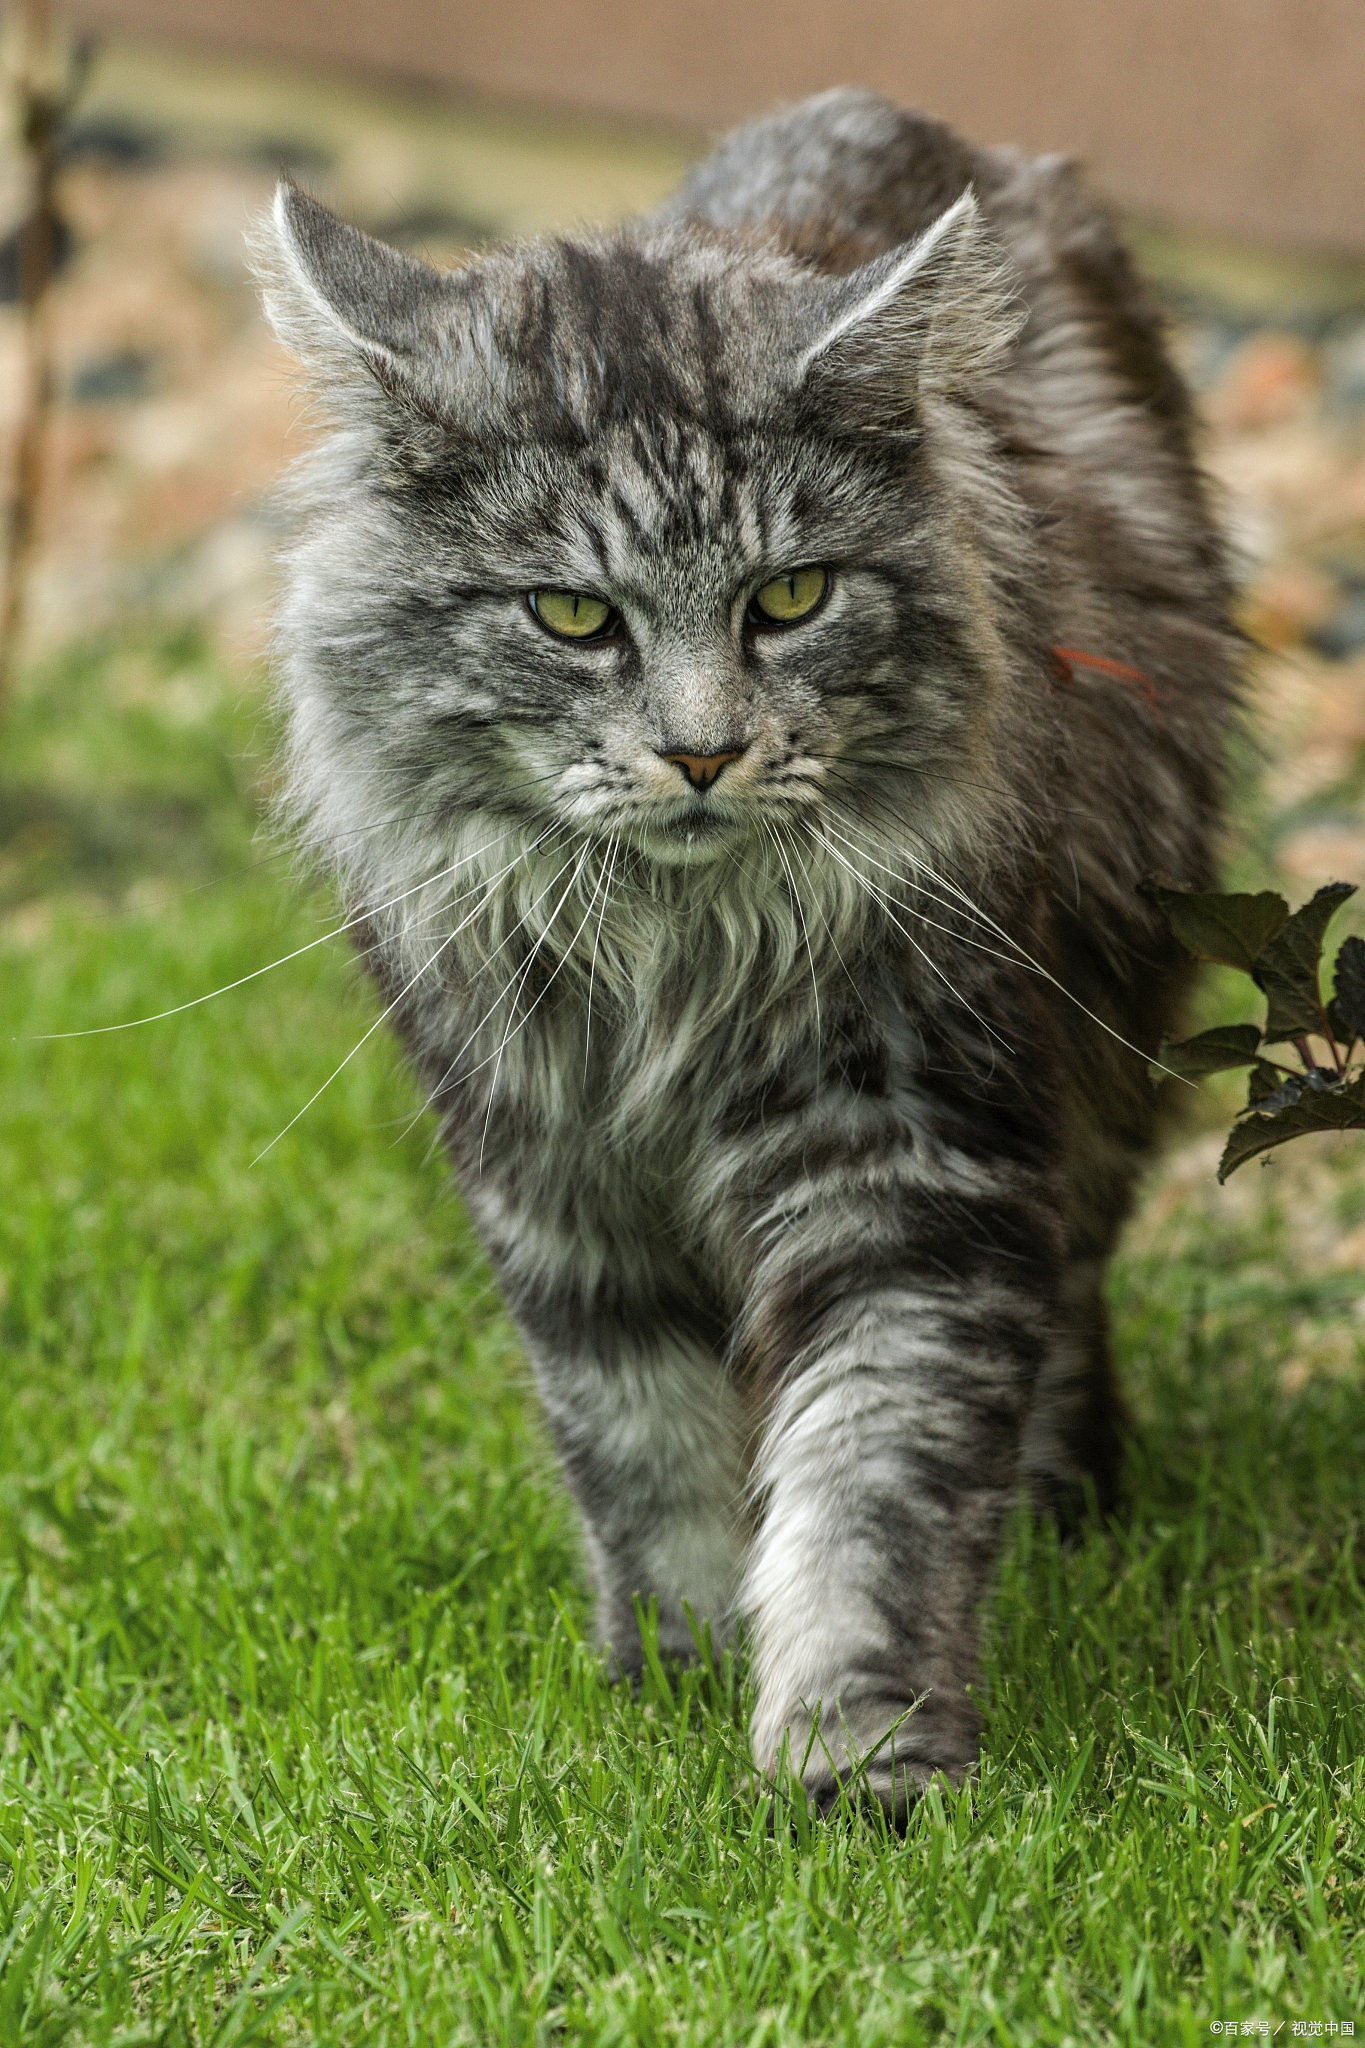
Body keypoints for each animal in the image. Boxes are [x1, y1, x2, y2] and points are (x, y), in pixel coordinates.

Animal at [253, 83, 1236, 1826]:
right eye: (573, 618)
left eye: (791, 596)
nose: (703, 752)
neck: (676, 965)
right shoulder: (557, 1185)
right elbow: (647, 1454)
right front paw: (680, 1680)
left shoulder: (908, 1168)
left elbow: (870, 1484)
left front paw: (854, 1762)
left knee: (1065, 1299)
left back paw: (1065, 1513)